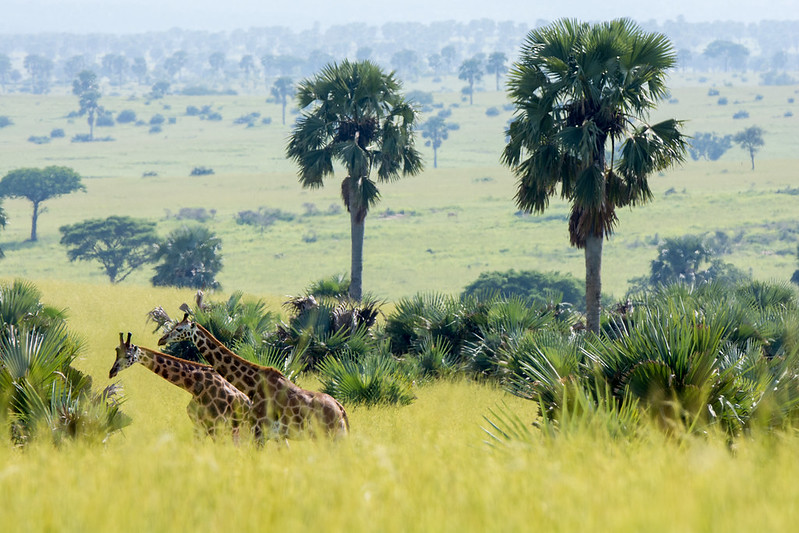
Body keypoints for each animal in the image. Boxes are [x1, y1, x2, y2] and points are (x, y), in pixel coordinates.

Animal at [109, 332, 252, 440]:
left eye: (128, 355)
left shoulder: (216, 427)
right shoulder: (199, 426)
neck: (195, 386)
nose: (112, 372)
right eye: (116, 351)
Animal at [158, 314, 348, 442]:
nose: (161, 339)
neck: (253, 384)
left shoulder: (259, 430)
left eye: (179, 329)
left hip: (326, 437)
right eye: (174, 325)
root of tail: (341, 411)